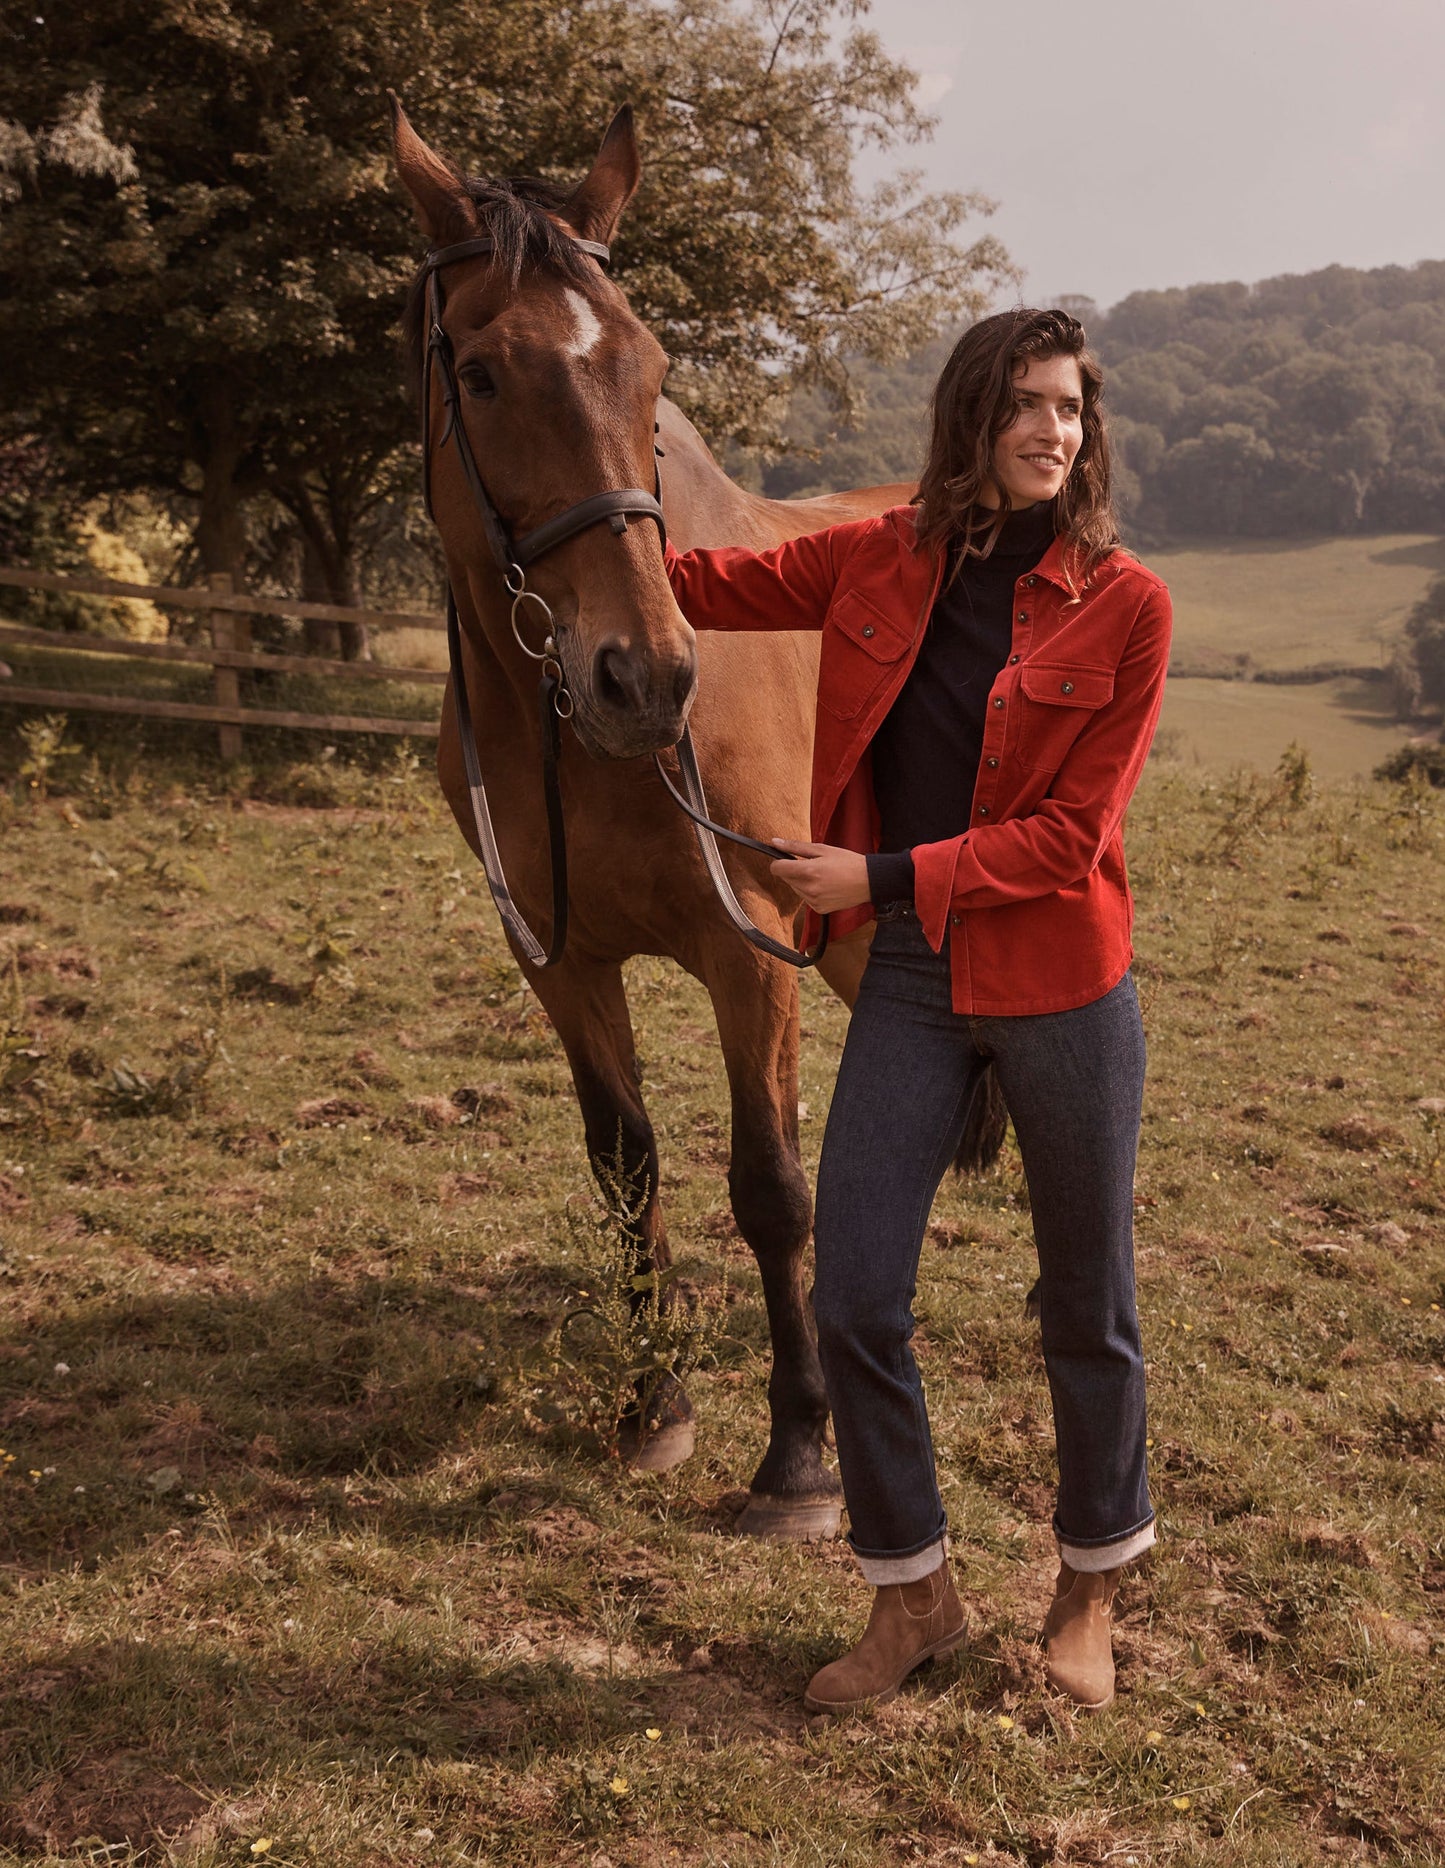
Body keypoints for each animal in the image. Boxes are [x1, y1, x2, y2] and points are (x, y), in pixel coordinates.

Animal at [395, 94, 1000, 1539]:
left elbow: (770, 1188)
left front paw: (799, 1455)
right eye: (481, 373)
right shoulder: (562, 962)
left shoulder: (747, 946)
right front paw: (651, 1405)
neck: (575, 738)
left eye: (650, 370)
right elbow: (627, 1167)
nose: (645, 676)